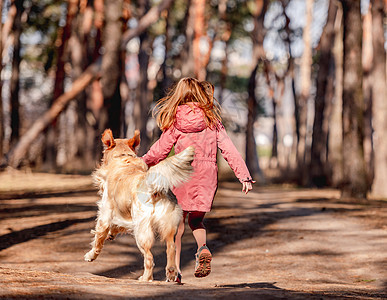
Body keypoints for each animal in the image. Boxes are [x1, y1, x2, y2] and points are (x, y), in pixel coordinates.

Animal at [84, 129, 194, 282]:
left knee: (149, 257)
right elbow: (116, 226)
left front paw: (91, 255)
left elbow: (98, 239)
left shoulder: (105, 214)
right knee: (171, 247)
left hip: (141, 231)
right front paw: (111, 234)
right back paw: (171, 272)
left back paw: (145, 278)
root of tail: (153, 187)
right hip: (169, 227)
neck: (123, 157)